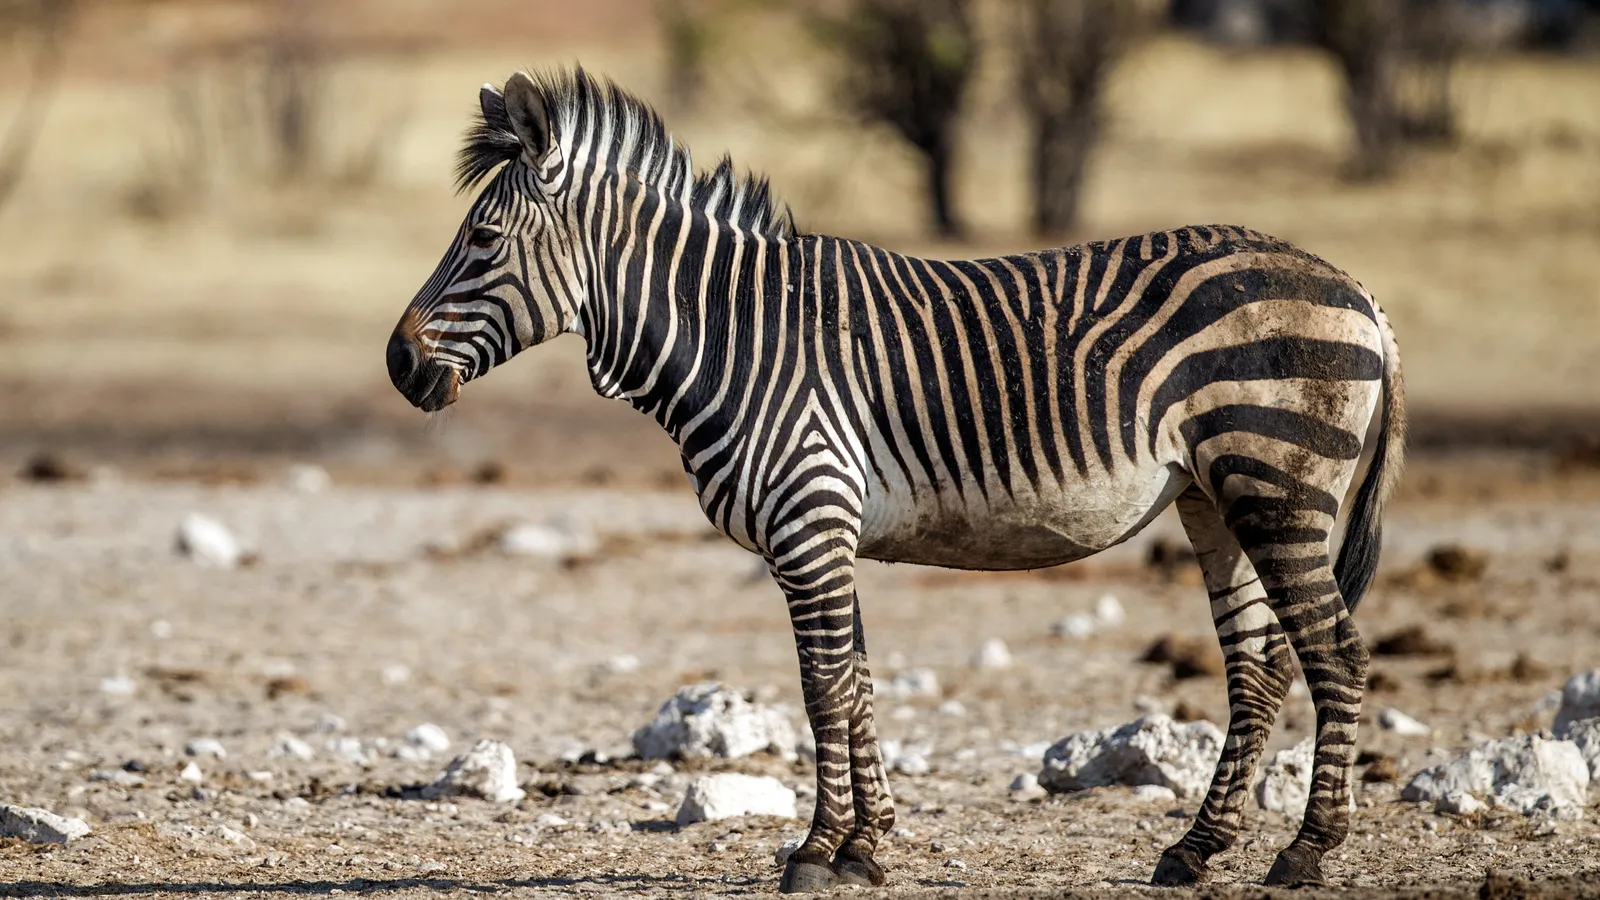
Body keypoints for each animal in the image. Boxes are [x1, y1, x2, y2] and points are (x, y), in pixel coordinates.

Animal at [385, 68, 1405, 892]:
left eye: (482, 238)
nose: (398, 366)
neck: (735, 337)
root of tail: (1355, 287)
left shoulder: (808, 523)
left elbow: (823, 688)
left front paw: (814, 852)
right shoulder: (826, 533)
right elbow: (859, 683)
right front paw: (864, 848)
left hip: (1277, 485)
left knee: (1335, 653)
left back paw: (1305, 853)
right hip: (1212, 498)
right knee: (1257, 670)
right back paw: (1195, 851)